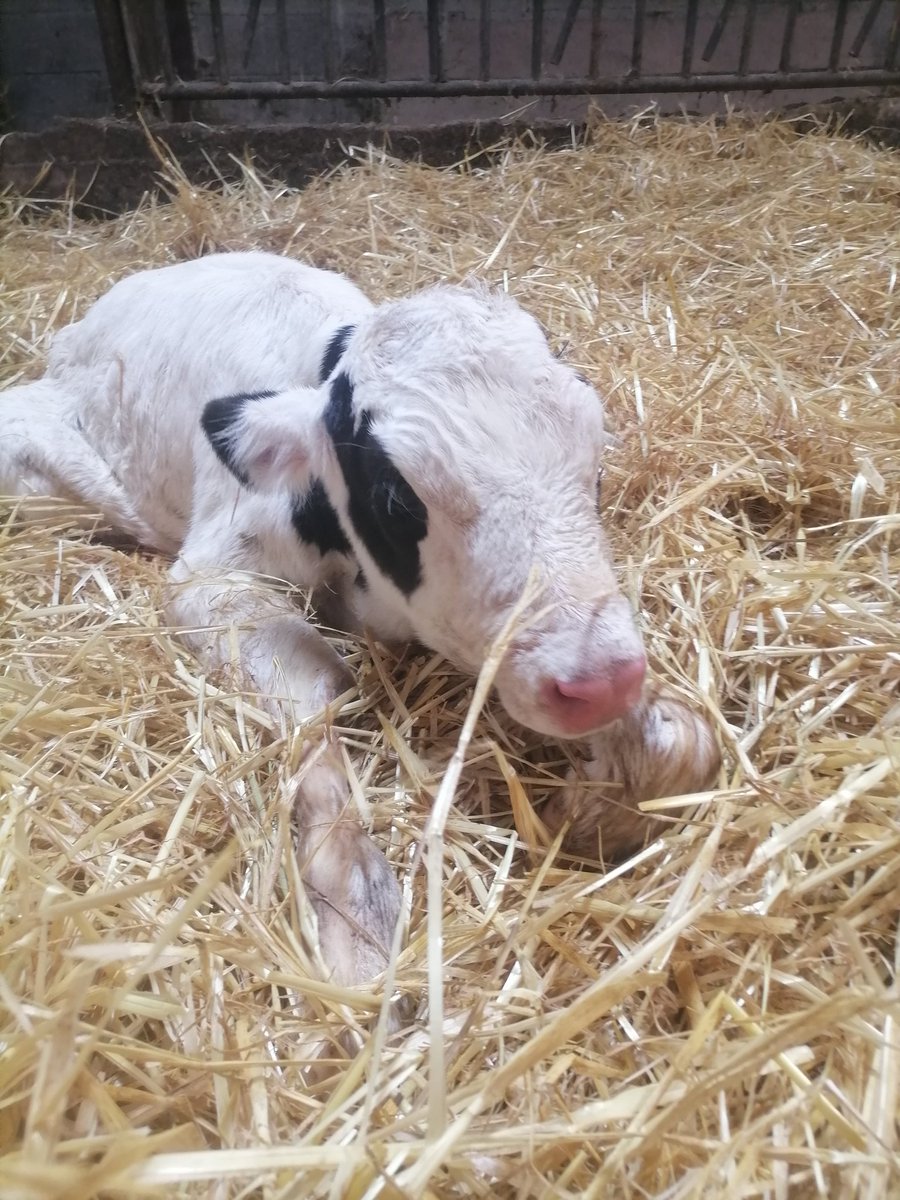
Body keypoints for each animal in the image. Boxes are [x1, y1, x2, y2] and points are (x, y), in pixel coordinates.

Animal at [0, 252, 719, 984]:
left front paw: (597, 810)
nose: (599, 681)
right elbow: (321, 695)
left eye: (595, 473)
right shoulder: (210, 580)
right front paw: (354, 916)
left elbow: (688, 743)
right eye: (396, 499)